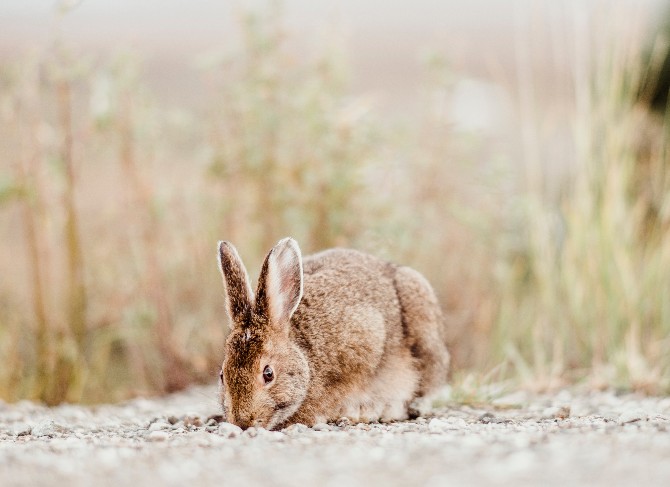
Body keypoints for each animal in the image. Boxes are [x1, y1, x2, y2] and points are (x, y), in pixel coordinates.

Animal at [216, 237, 450, 430]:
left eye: (268, 374)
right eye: (222, 375)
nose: (242, 422)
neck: (307, 360)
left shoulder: (365, 341)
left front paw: (360, 411)